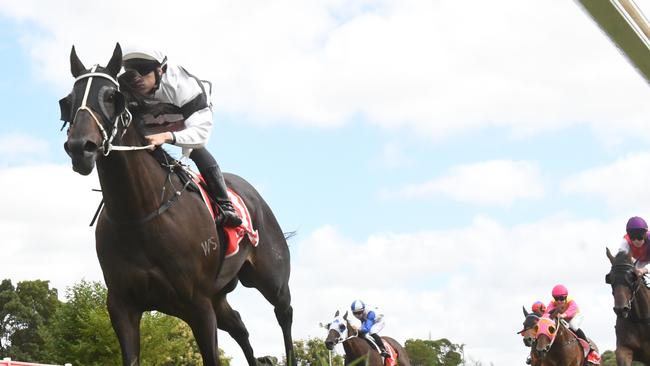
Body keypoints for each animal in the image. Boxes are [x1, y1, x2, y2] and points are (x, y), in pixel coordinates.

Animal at [60, 43, 294, 366]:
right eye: (68, 101)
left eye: (111, 97)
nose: (81, 147)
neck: (140, 214)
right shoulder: (122, 305)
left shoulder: (199, 305)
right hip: (220, 296)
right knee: (239, 326)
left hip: (271, 279)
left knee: (285, 314)